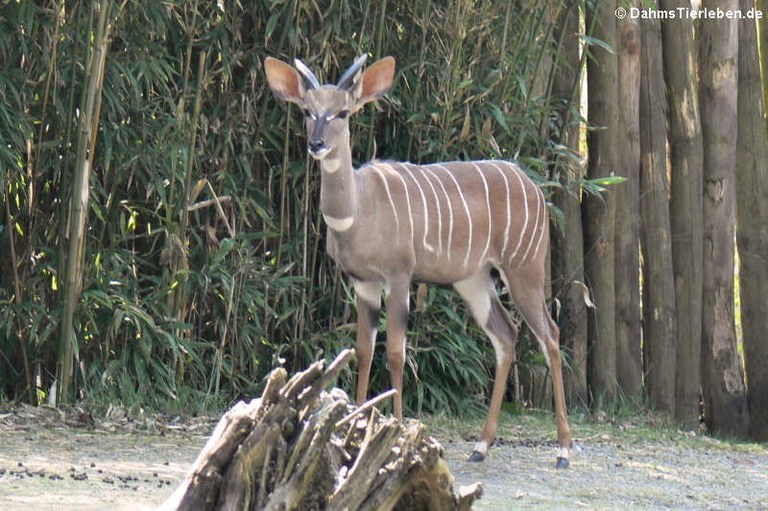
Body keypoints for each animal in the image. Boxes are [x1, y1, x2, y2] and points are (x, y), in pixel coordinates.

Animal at [264, 53, 568, 468]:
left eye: (343, 112)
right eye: (307, 111)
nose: (316, 144)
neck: (359, 210)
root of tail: (535, 187)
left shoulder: (399, 276)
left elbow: (395, 352)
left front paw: (396, 430)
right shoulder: (363, 282)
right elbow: (364, 351)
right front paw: (353, 426)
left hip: (524, 270)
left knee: (549, 334)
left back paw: (564, 450)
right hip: (473, 280)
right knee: (506, 335)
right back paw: (480, 446)